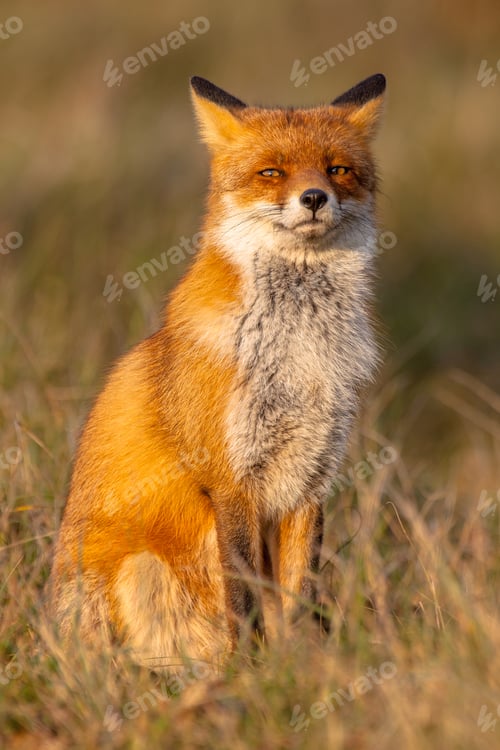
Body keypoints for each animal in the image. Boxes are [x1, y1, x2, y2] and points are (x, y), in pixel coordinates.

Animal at [50, 73, 386, 671]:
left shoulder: (310, 479)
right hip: (139, 569)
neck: (298, 354)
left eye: (337, 170)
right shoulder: (230, 481)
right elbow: (245, 595)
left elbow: (298, 595)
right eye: (272, 172)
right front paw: (251, 673)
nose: (314, 198)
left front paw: (302, 667)